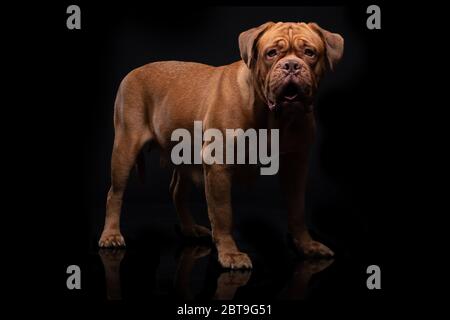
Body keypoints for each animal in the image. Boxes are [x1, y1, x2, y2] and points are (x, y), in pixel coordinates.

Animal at [99, 21, 344, 268]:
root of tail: (133, 71)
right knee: (115, 193)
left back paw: (190, 229)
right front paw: (229, 253)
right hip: (125, 148)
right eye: (271, 53)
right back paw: (111, 235)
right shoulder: (219, 165)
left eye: (310, 52)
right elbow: (223, 213)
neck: (272, 116)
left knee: (177, 191)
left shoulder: (295, 165)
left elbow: (297, 209)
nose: (291, 65)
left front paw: (307, 244)